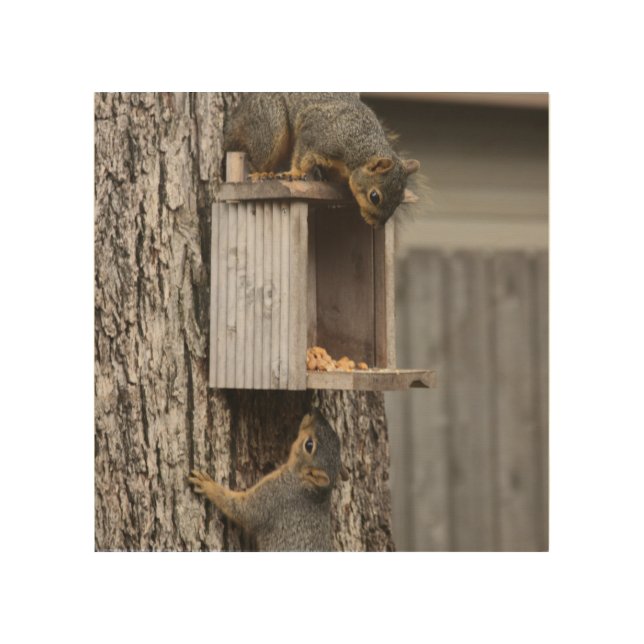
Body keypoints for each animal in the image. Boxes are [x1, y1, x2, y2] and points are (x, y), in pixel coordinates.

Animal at [224, 93, 420, 228]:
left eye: (400, 199)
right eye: (374, 197)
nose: (377, 226)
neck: (358, 146)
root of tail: (238, 117)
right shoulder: (314, 135)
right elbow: (301, 157)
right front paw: (296, 173)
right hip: (271, 125)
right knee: (257, 159)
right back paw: (262, 174)